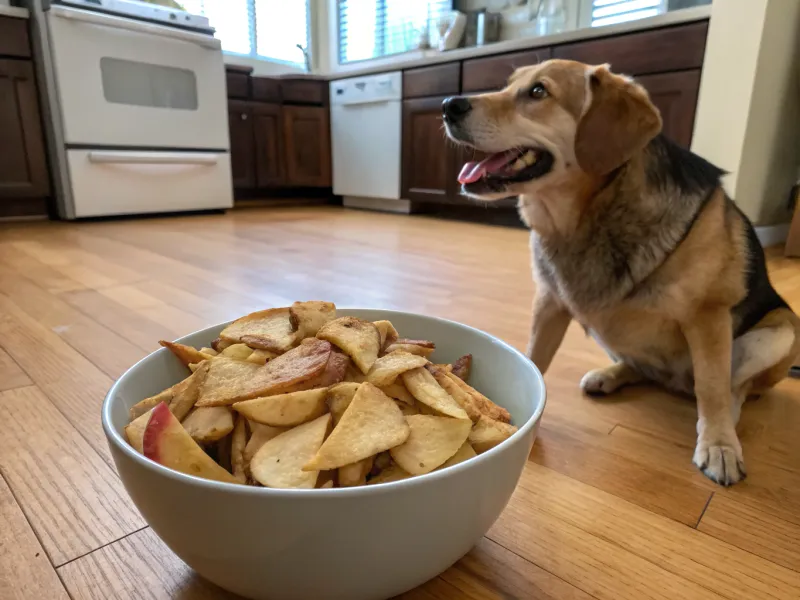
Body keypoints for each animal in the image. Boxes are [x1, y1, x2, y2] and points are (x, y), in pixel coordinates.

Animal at [444, 58, 800, 486]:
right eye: (507, 85)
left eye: (538, 92)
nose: (447, 105)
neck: (583, 218)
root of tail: (675, 381)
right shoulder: (550, 302)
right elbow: (535, 358)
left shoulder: (708, 313)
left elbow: (713, 387)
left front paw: (719, 445)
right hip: (608, 326)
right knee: (643, 368)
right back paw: (610, 375)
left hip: (780, 333)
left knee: (732, 388)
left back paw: (723, 417)